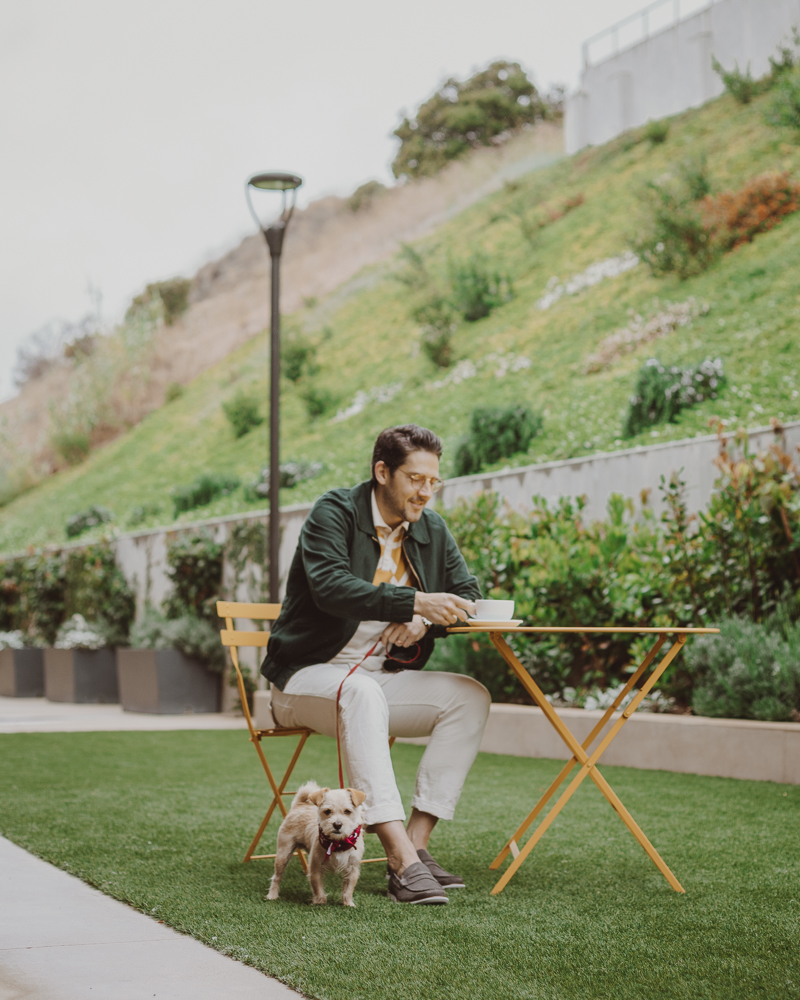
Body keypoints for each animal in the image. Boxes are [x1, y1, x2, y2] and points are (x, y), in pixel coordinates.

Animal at [268, 780, 368, 908]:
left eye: (347, 811)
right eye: (327, 811)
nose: (337, 824)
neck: (337, 843)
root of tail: (300, 804)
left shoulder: (352, 869)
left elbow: (348, 889)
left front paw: (348, 904)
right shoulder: (315, 867)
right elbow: (317, 887)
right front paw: (319, 902)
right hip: (283, 854)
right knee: (277, 877)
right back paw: (272, 895)